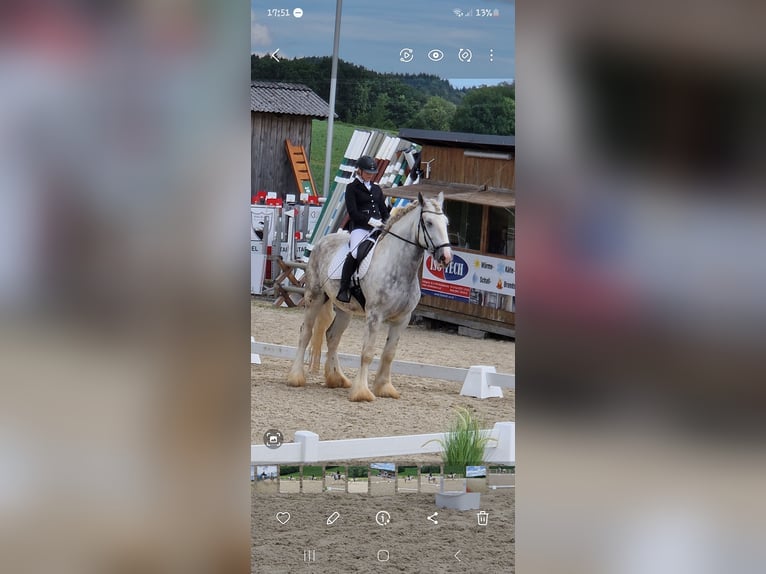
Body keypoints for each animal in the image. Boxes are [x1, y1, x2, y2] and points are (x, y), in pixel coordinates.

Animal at [292, 191, 452, 402]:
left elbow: (389, 354)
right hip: (315, 298)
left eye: (446, 222)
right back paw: (296, 377)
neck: (400, 267)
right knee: (306, 332)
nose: (446, 257)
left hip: (344, 309)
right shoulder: (375, 316)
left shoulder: (402, 319)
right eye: (429, 222)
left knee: (332, 336)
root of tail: (323, 240)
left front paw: (385, 388)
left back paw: (337, 379)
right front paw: (362, 392)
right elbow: (367, 353)